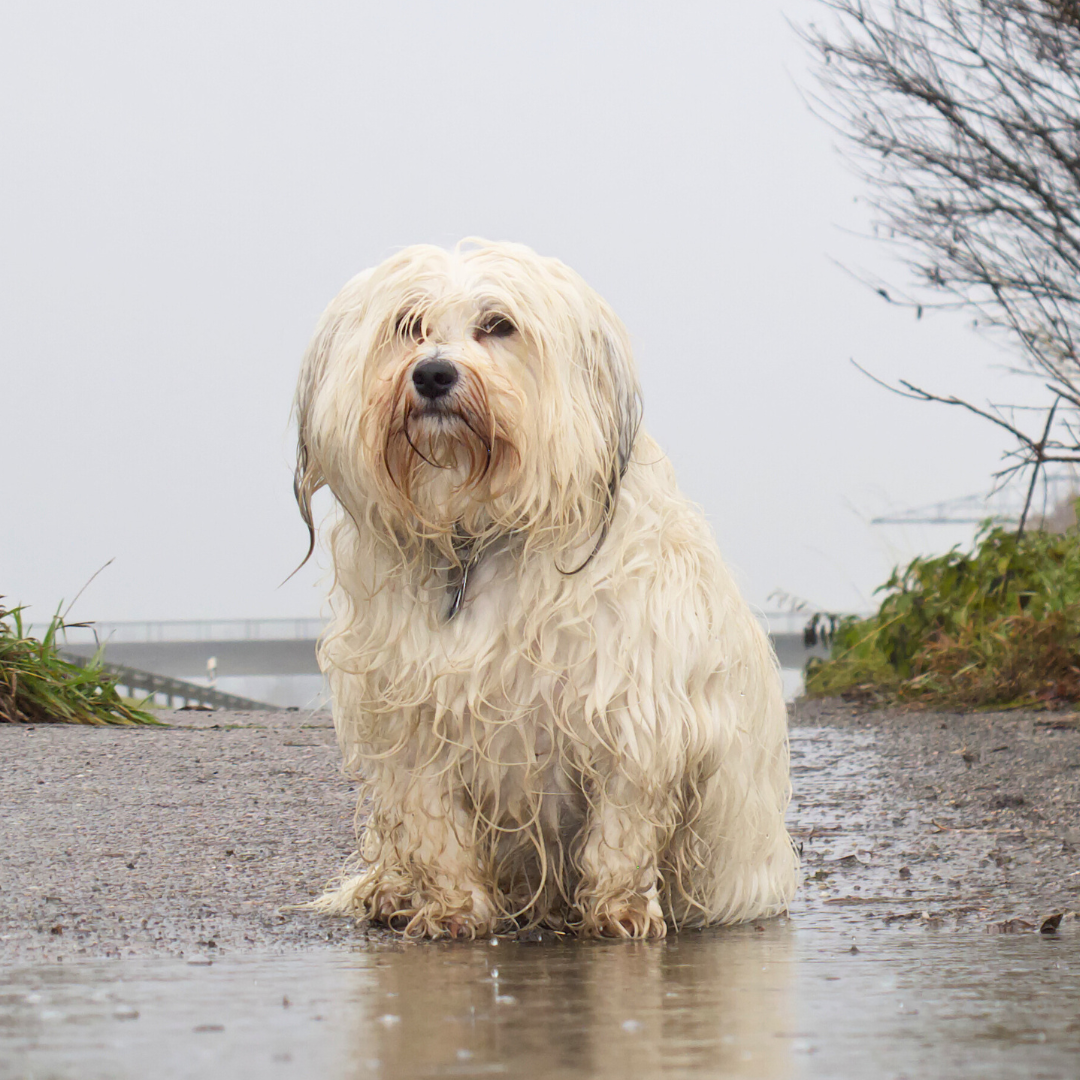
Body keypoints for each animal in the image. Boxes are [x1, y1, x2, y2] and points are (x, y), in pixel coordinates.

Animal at [291, 240, 799, 941]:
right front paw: (453, 910)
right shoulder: (412, 718)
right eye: (408, 324)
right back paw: (391, 893)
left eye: (498, 325)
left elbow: (622, 825)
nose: (433, 375)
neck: (475, 535)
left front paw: (619, 911)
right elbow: (434, 825)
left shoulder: (631, 708)